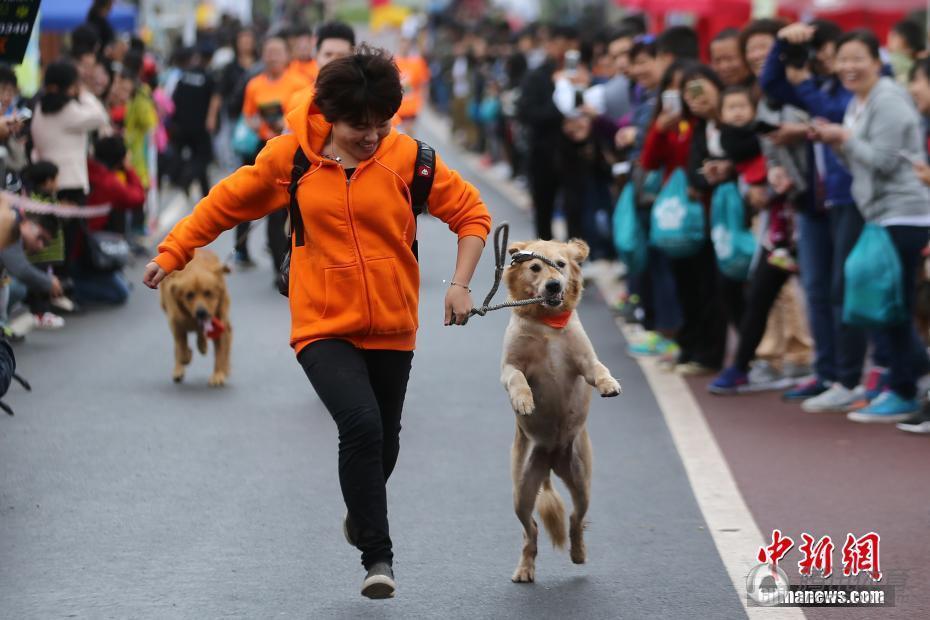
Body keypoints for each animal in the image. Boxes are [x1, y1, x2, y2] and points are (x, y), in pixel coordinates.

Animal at [160, 248, 232, 386]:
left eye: (208, 293)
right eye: (189, 295)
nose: (201, 312)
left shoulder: (218, 322)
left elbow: (219, 351)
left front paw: (218, 375)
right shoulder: (176, 322)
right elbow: (181, 348)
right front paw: (187, 355)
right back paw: (179, 368)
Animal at [496, 236, 620, 580]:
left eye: (561, 265)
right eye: (535, 266)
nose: (553, 285)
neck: (547, 324)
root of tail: (551, 458)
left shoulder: (584, 362)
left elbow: (599, 369)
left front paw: (609, 385)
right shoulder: (511, 366)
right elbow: (517, 379)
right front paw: (524, 401)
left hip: (581, 479)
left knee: (576, 519)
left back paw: (578, 553)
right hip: (522, 490)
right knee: (532, 529)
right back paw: (525, 568)